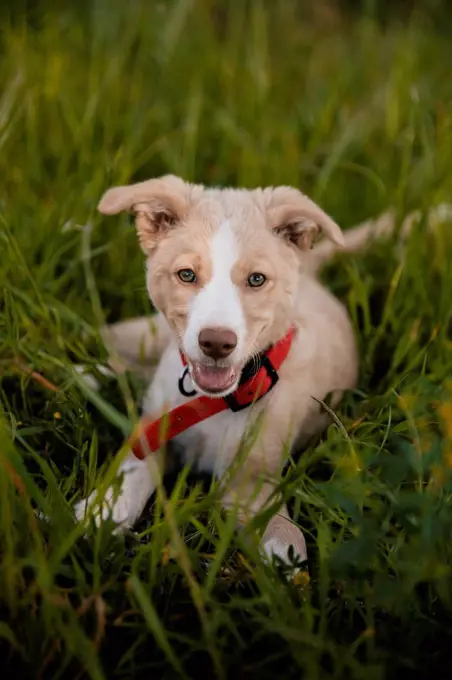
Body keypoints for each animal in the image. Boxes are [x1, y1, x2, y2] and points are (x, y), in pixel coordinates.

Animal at [73, 174, 428, 564]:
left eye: (256, 279)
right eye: (187, 275)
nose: (216, 343)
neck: (216, 401)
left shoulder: (250, 480)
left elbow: (278, 532)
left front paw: (285, 559)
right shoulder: (154, 427)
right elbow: (132, 468)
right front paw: (105, 510)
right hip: (145, 335)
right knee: (109, 344)